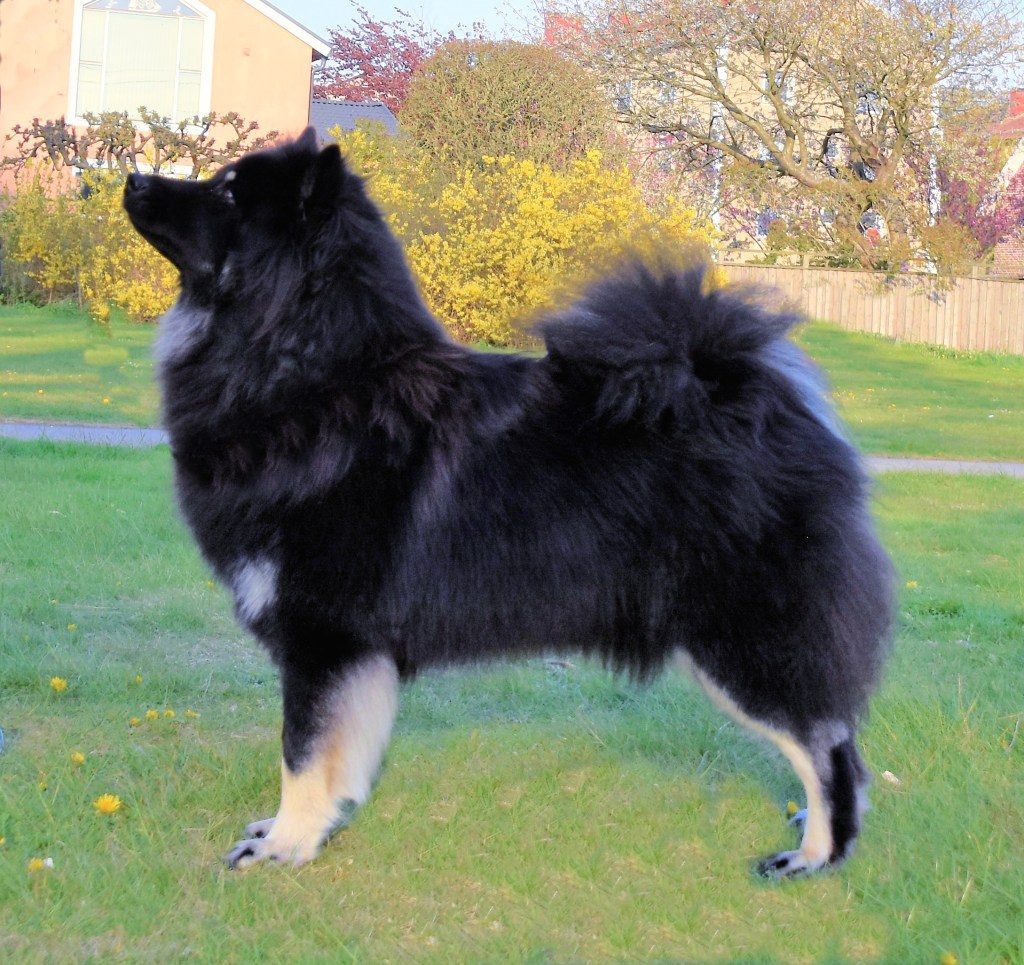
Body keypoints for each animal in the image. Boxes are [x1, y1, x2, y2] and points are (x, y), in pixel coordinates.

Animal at [123, 127, 893, 877]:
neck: (312, 376)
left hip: (745, 644)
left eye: (228, 192)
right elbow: (331, 758)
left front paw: (283, 846)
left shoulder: (323, 637)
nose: (131, 177)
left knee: (828, 749)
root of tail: (755, 399)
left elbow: (302, 755)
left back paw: (814, 855)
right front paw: (303, 833)